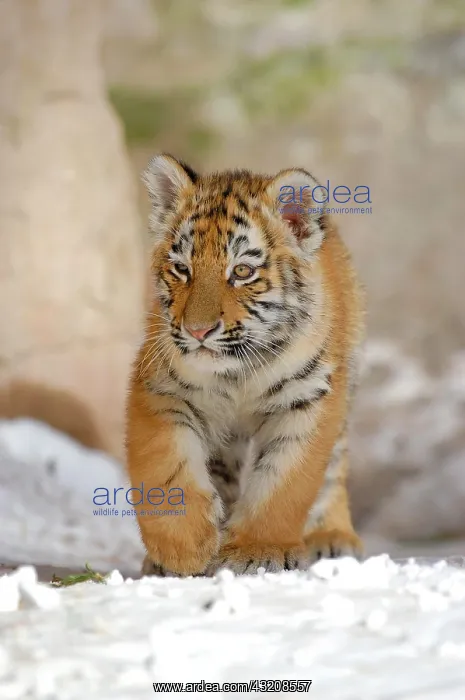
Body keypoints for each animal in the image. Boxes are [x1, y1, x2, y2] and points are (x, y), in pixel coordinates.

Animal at [125, 153, 365, 577]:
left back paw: (332, 539)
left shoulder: (307, 401)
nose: (198, 330)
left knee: (335, 469)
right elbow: (167, 465)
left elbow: (282, 483)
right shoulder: (161, 389)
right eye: (182, 268)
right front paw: (184, 550)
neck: (239, 372)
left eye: (241, 272)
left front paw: (256, 550)